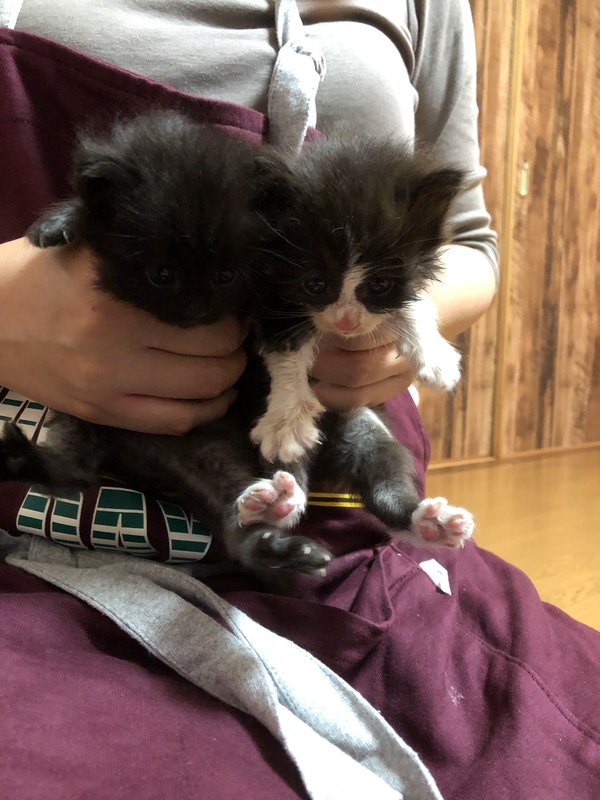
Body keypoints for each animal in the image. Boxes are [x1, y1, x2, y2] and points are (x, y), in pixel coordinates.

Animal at [0, 111, 474, 576]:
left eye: (380, 285)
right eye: (315, 284)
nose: (346, 322)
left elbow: (406, 302)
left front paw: (433, 354)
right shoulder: (277, 297)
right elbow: (285, 346)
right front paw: (62, 220)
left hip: (357, 422)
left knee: (381, 471)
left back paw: (420, 521)